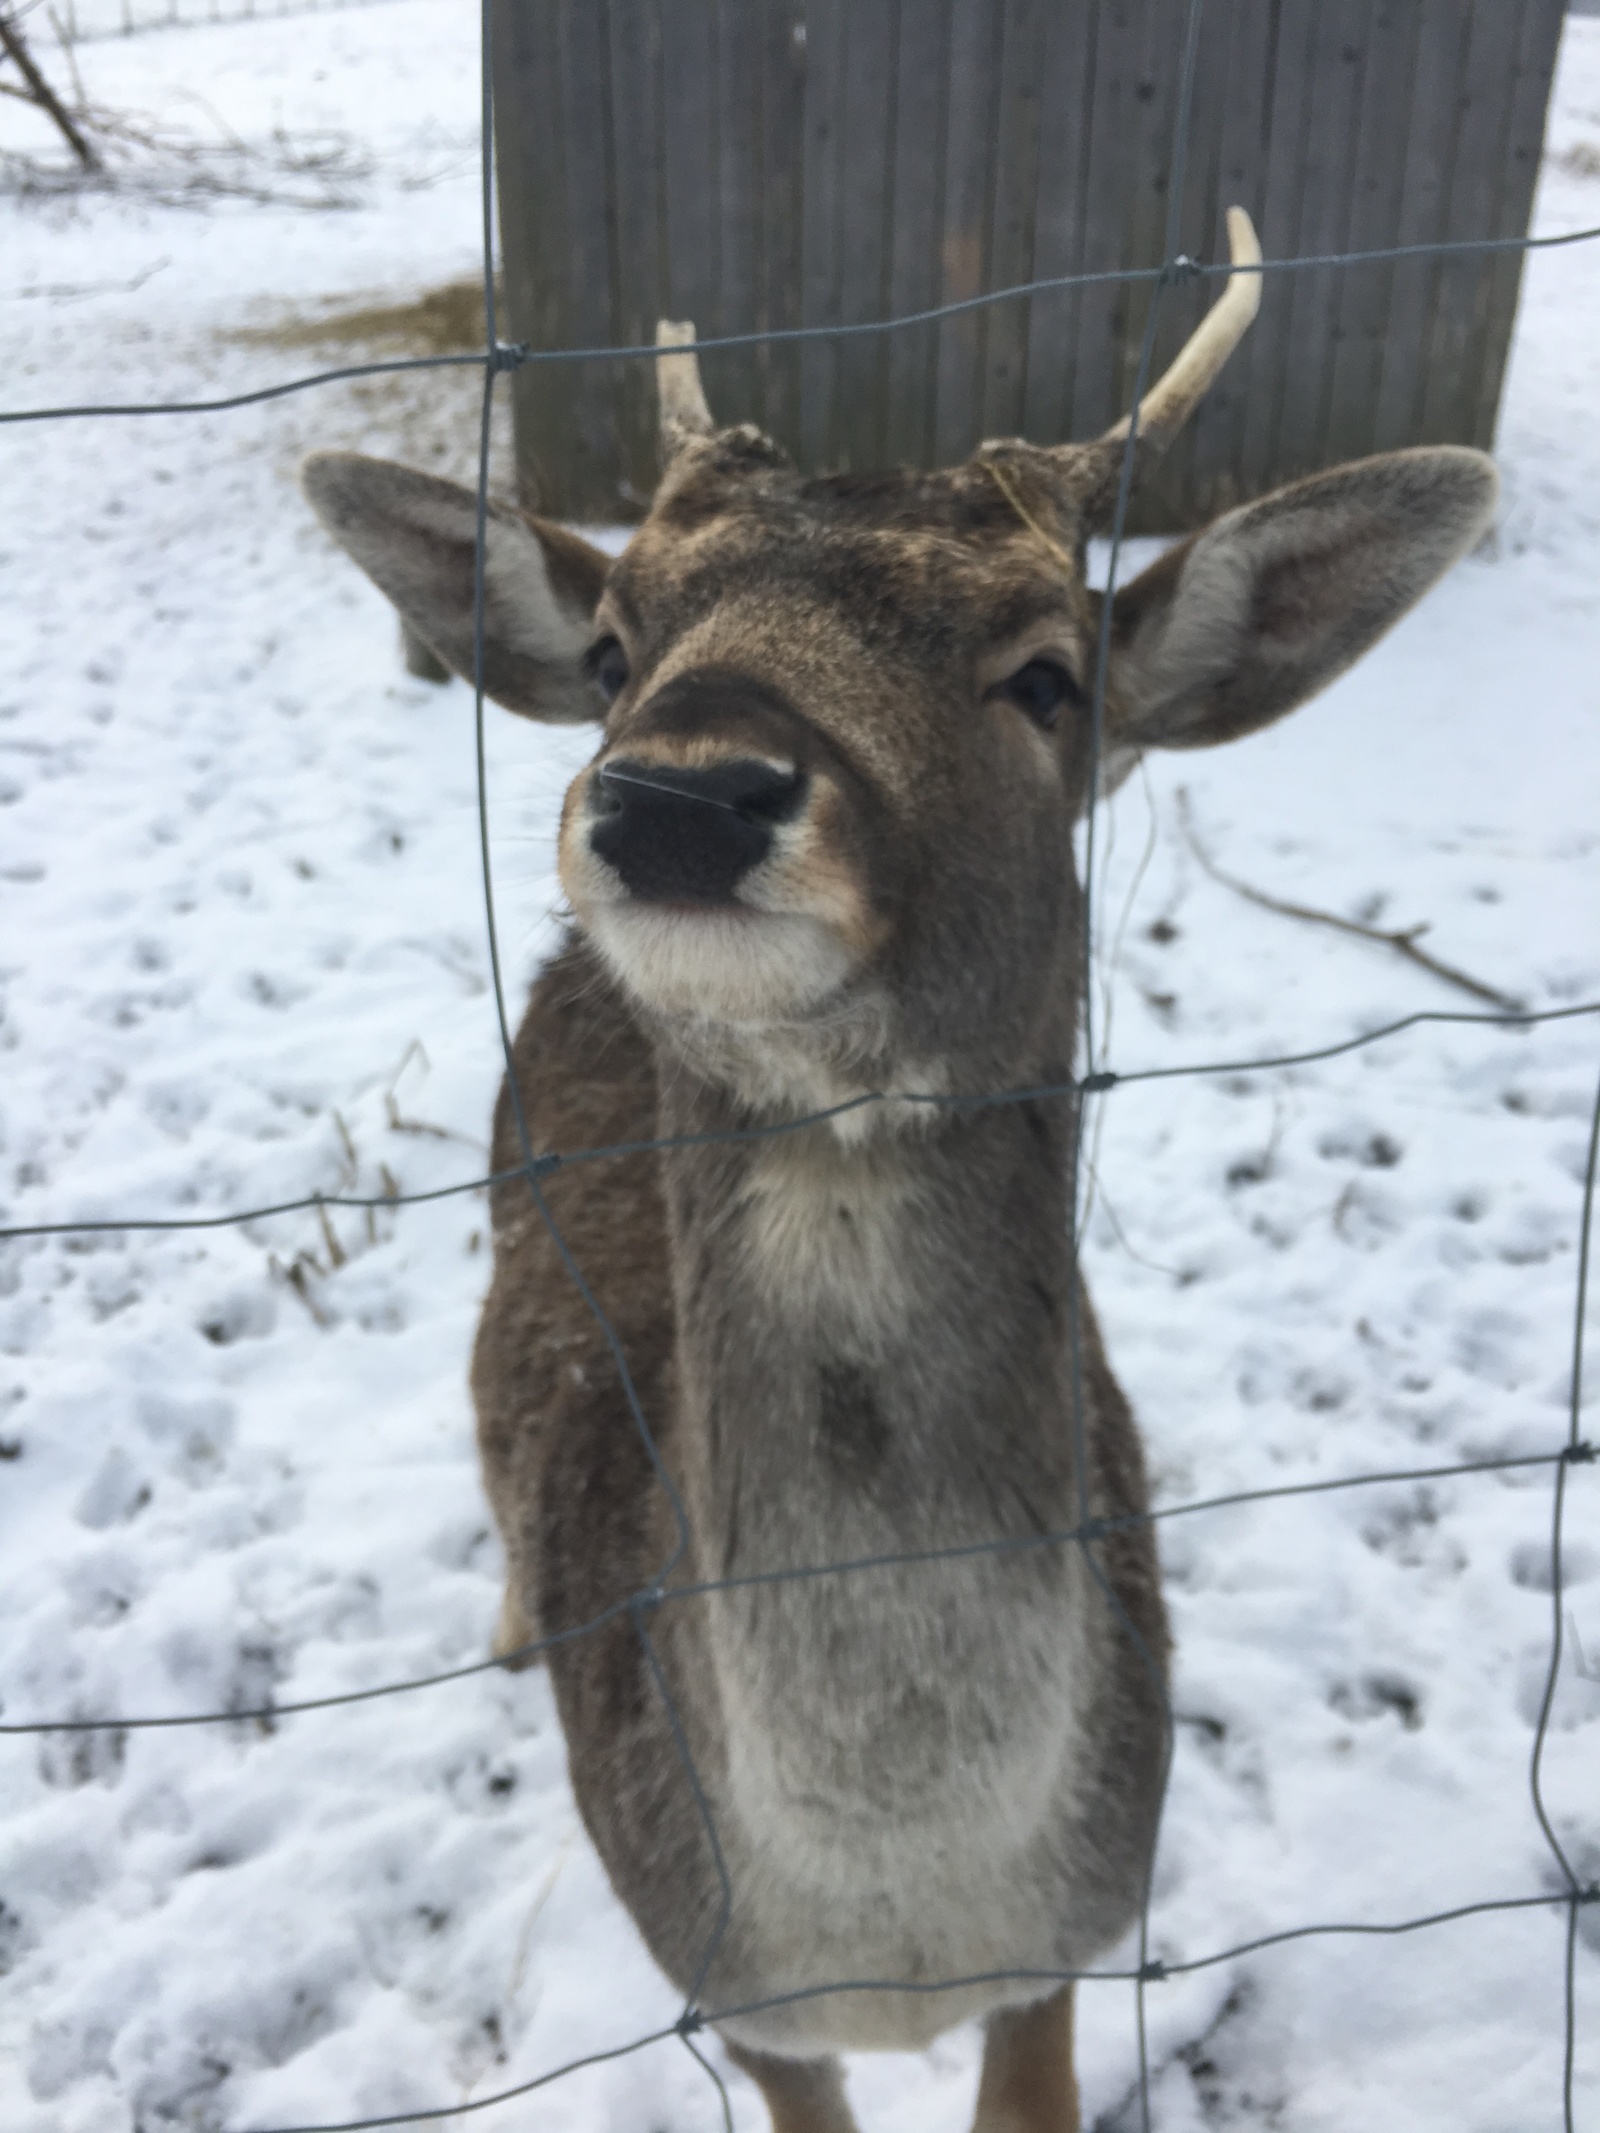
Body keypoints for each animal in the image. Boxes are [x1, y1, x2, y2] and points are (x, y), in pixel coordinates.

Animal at [302, 212, 1501, 2133]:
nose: (677, 794)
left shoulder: (1071, 1944)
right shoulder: (729, 1990)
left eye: (1046, 671)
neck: (891, 1910)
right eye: (615, 642)